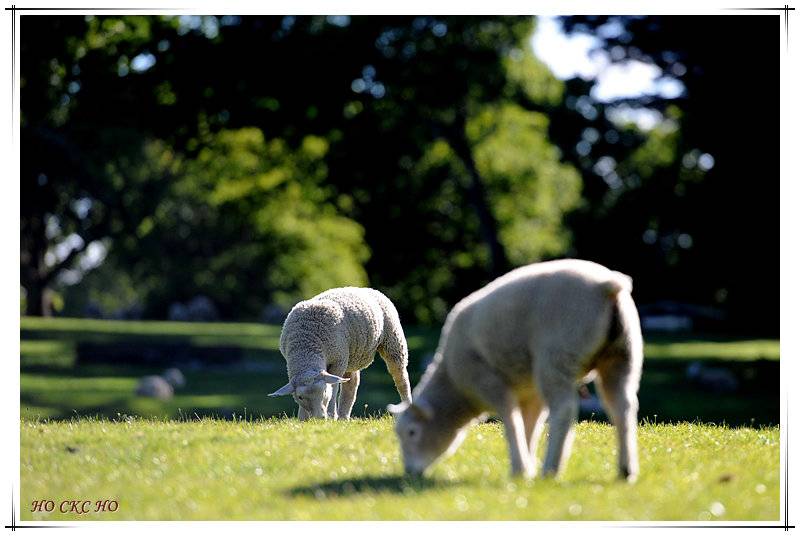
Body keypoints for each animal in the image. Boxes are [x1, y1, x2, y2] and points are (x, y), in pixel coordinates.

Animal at [269, 287, 413, 420]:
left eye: (324, 391)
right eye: (300, 397)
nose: (319, 418)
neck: (306, 346)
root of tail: (370, 289)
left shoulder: (338, 361)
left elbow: (333, 389)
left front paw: (331, 415)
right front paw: (303, 419)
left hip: (393, 342)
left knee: (401, 378)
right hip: (351, 355)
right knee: (352, 383)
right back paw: (343, 416)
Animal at [389, 259, 643, 482]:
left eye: (412, 432)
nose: (409, 472)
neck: (454, 384)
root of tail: (607, 286)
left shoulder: (489, 382)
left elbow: (511, 422)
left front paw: (519, 468)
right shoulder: (529, 392)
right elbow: (529, 424)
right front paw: (527, 466)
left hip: (558, 355)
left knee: (564, 409)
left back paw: (551, 469)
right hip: (622, 355)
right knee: (622, 406)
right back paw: (626, 469)